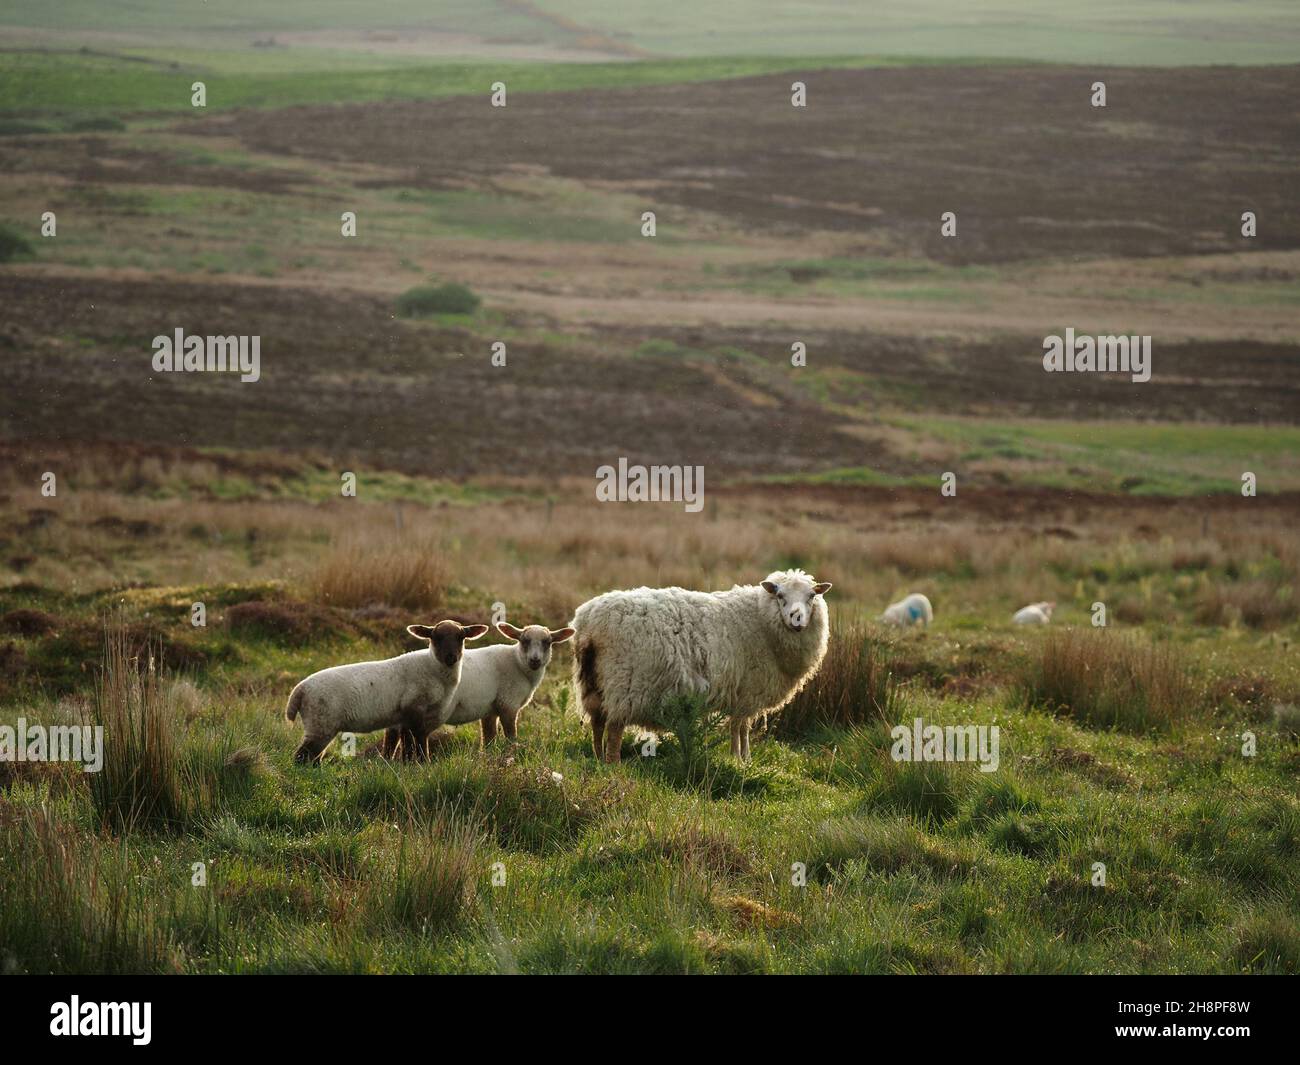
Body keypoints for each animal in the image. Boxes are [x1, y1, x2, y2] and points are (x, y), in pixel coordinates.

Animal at [284, 619, 488, 764]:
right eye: (435, 637)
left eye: (461, 637)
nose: (451, 657)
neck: (433, 669)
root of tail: (299, 690)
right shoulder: (413, 711)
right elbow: (415, 744)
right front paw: (418, 765)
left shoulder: (404, 719)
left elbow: (406, 745)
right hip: (321, 723)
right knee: (302, 757)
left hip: (319, 725)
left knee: (313, 758)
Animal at [382, 621, 574, 758]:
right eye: (524, 641)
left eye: (548, 642)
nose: (535, 660)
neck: (518, 664)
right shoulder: (508, 704)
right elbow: (511, 737)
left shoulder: (490, 710)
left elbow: (488, 739)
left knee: (391, 736)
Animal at [571, 568, 832, 764]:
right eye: (780, 596)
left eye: (811, 596)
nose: (796, 618)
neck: (760, 619)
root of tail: (588, 624)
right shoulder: (747, 690)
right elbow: (740, 727)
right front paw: (741, 759)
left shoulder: (741, 693)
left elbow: (739, 726)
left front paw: (740, 758)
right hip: (625, 683)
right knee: (614, 728)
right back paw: (612, 763)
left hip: (594, 681)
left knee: (597, 722)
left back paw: (598, 759)